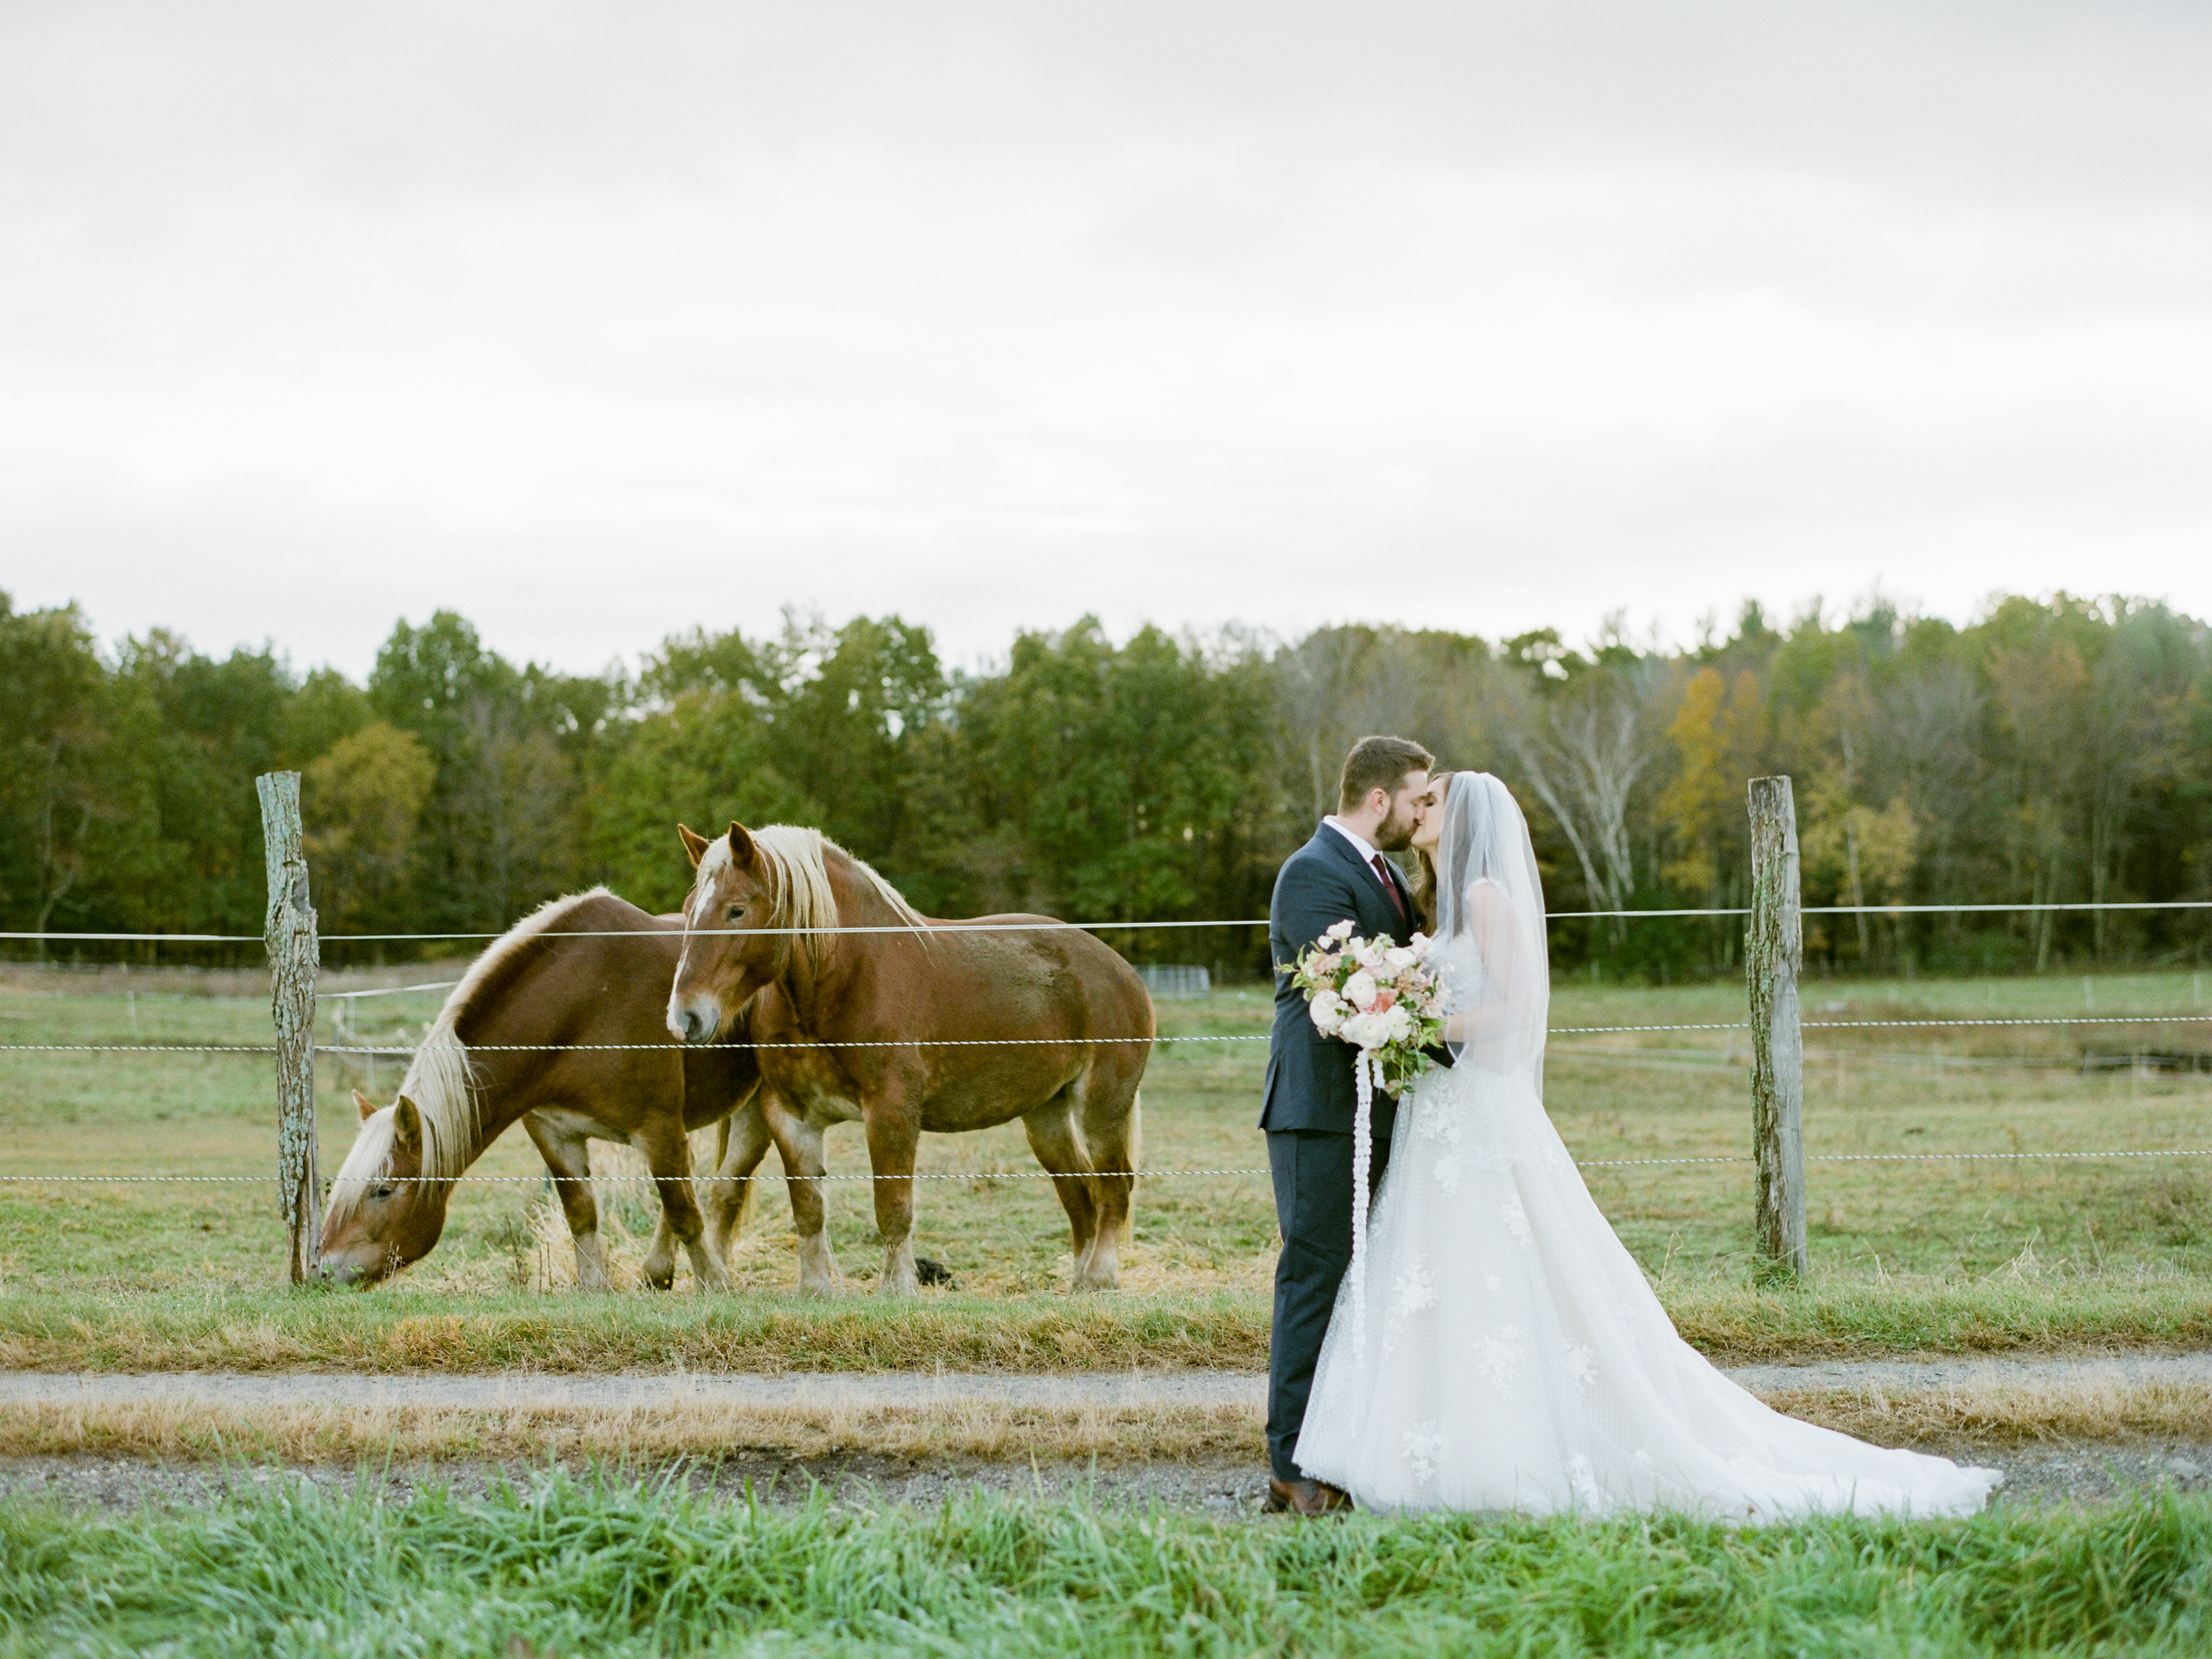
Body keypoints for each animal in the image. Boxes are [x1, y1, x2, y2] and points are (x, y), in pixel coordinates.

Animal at [320, 889, 770, 1292]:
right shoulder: (554, 1132)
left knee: (726, 1187)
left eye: (383, 1190)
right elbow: (582, 1215)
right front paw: (595, 1289)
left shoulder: (657, 1128)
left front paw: (714, 1285)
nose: (324, 1271)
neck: (584, 1006)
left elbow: (684, 1212)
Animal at [664, 818, 1159, 1301]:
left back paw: (1100, 1278)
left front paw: (898, 1287)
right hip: (1047, 1115)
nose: (685, 1017)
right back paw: (1079, 1281)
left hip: (1102, 1107)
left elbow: (893, 1205)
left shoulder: (891, 1109)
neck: (846, 977)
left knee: (1114, 1186)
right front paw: (815, 1288)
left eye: (736, 910)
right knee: (1079, 1192)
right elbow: (808, 1207)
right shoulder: (789, 1115)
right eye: (688, 909)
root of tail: (1122, 971)